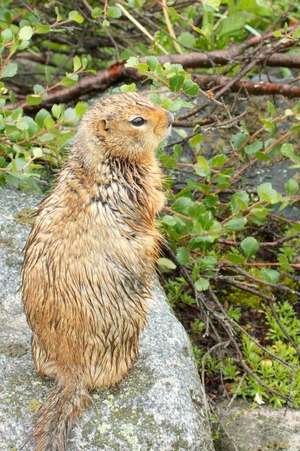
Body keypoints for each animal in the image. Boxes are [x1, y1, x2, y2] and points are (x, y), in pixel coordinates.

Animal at [21, 92, 173, 451]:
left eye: (146, 98)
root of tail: (70, 369)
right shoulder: (143, 185)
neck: (100, 161)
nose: (171, 118)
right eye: (137, 120)